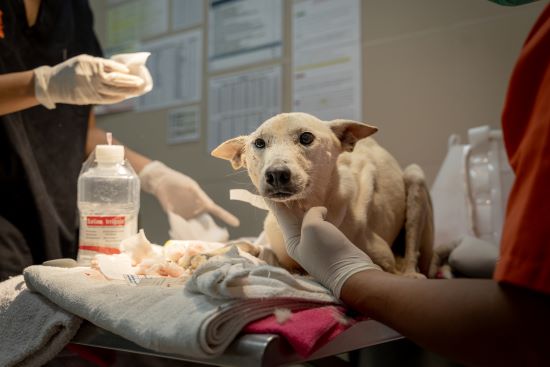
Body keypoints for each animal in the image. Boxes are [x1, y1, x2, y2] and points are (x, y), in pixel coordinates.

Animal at [215, 113, 436, 278]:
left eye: (306, 137)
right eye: (259, 143)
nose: (276, 174)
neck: (302, 211)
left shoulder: (384, 261)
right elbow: (260, 251)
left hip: (415, 178)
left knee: (413, 254)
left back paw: (412, 272)